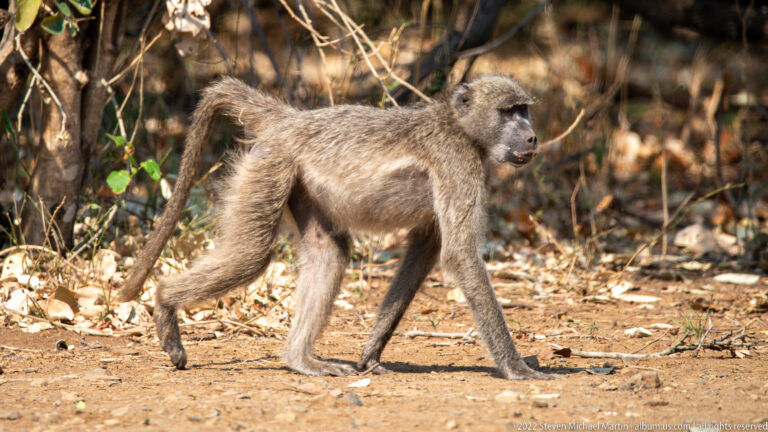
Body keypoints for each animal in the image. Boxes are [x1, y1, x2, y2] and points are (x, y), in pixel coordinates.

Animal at [119, 75, 551, 380]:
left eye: (524, 110)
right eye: (508, 112)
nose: (532, 137)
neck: (458, 126)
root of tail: (289, 120)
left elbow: (426, 248)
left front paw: (371, 355)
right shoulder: (456, 161)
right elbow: (460, 254)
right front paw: (518, 369)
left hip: (296, 182)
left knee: (329, 252)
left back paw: (300, 360)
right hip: (269, 167)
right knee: (251, 256)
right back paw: (164, 302)